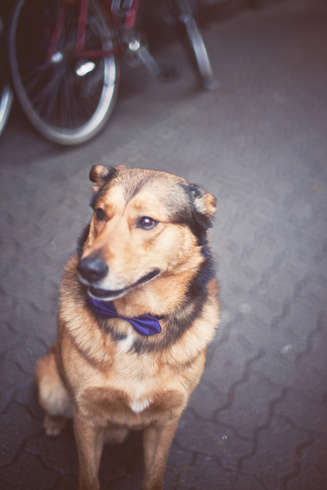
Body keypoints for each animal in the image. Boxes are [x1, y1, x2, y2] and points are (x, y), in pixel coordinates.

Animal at [35, 166, 220, 490]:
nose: (87, 269)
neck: (136, 321)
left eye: (146, 221)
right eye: (100, 213)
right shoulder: (87, 417)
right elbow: (88, 476)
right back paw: (53, 423)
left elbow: (154, 475)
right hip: (50, 385)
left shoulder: (166, 420)